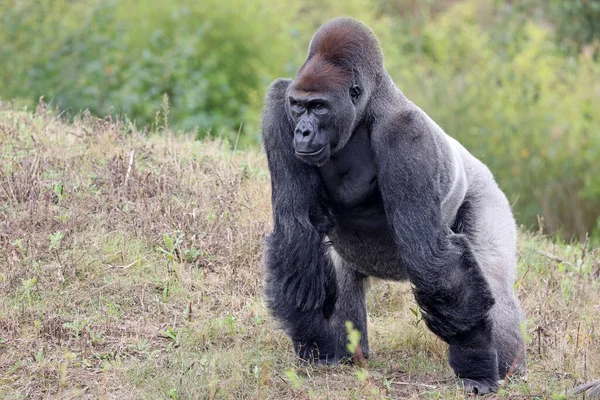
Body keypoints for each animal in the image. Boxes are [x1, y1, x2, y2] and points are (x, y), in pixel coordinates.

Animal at [260, 16, 528, 394]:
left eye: (319, 107)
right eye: (299, 106)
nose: (303, 132)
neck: (363, 111)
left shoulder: (405, 134)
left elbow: (429, 255)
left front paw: (474, 360)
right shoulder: (278, 106)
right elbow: (296, 228)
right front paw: (313, 341)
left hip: (486, 190)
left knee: (495, 280)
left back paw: (509, 367)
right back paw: (349, 354)